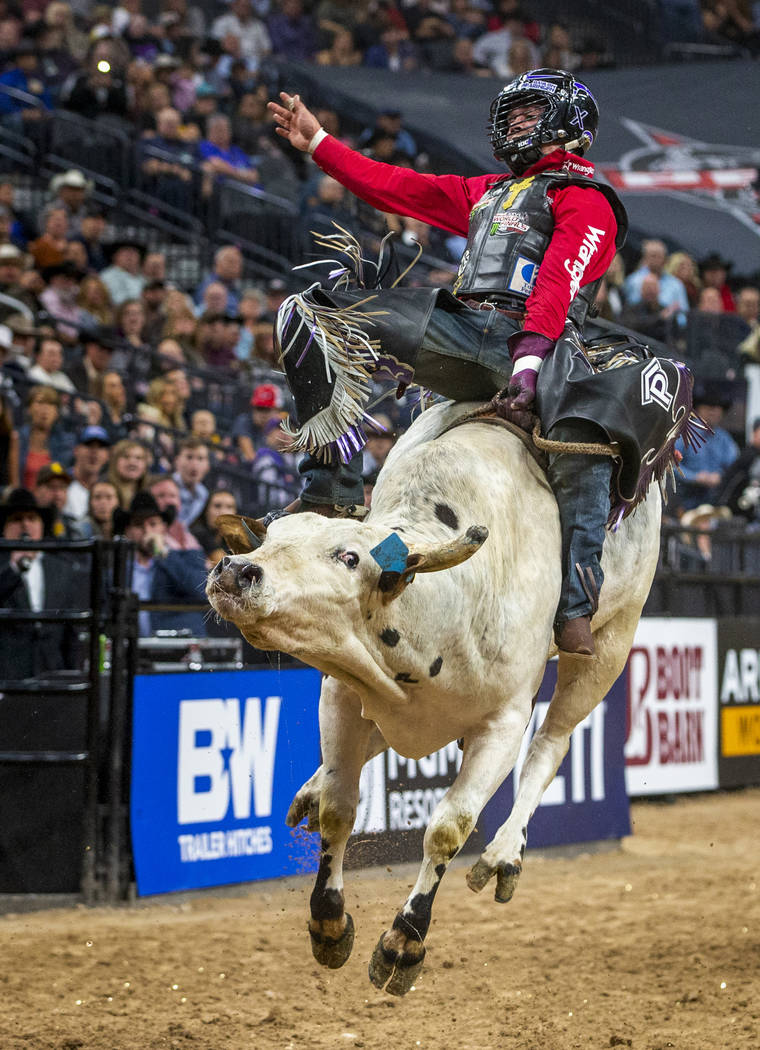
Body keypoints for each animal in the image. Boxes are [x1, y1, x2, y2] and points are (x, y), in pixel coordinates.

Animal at [206, 398, 659, 991]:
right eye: (270, 540)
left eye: (349, 557)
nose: (236, 570)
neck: (447, 605)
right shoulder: (343, 693)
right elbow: (338, 810)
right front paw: (328, 924)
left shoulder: (503, 723)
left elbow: (449, 828)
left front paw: (403, 945)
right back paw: (310, 789)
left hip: (609, 644)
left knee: (552, 742)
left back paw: (504, 855)